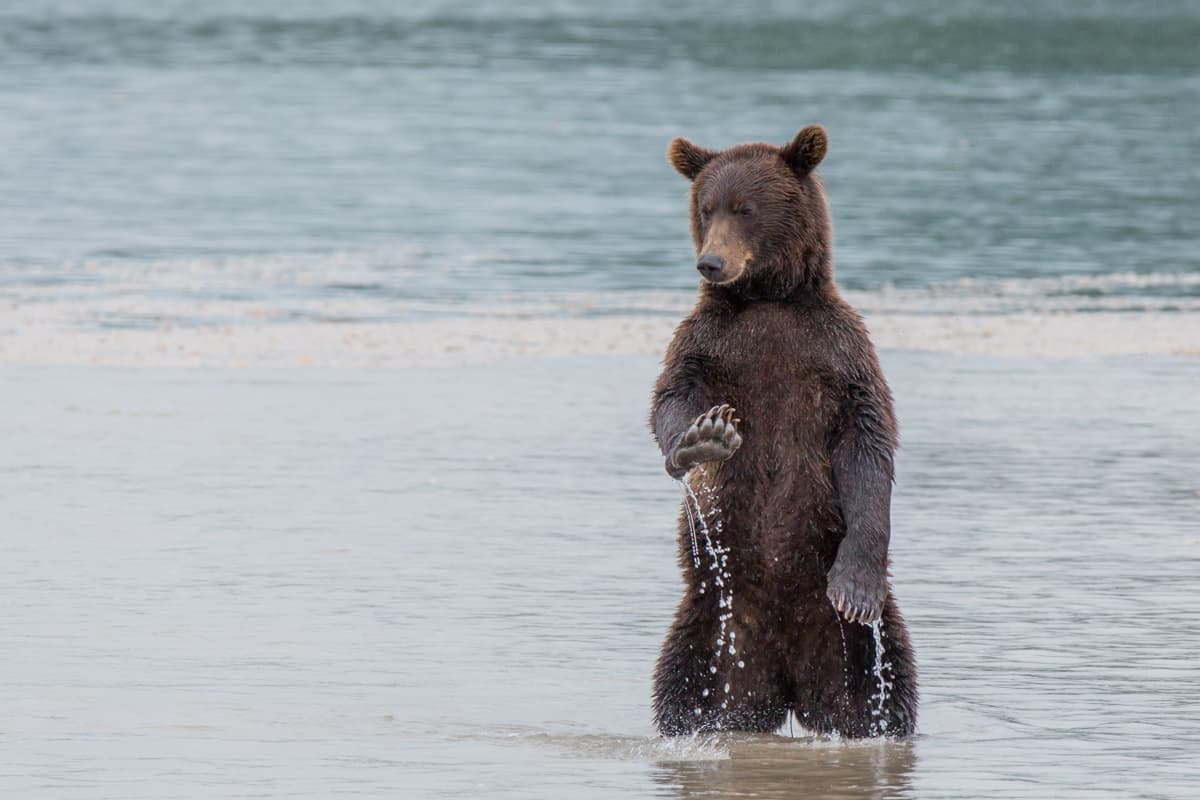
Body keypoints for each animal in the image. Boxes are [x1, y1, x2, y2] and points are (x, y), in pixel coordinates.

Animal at [649, 124, 917, 738]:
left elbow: (868, 444)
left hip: (856, 650)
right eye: (706, 207)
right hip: (711, 626)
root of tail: (790, 688)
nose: (711, 262)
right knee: (681, 687)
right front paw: (702, 438)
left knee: (888, 689)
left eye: (745, 209)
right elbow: (671, 398)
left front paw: (854, 588)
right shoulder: (709, 344)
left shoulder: (836, 353)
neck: (768, 298)